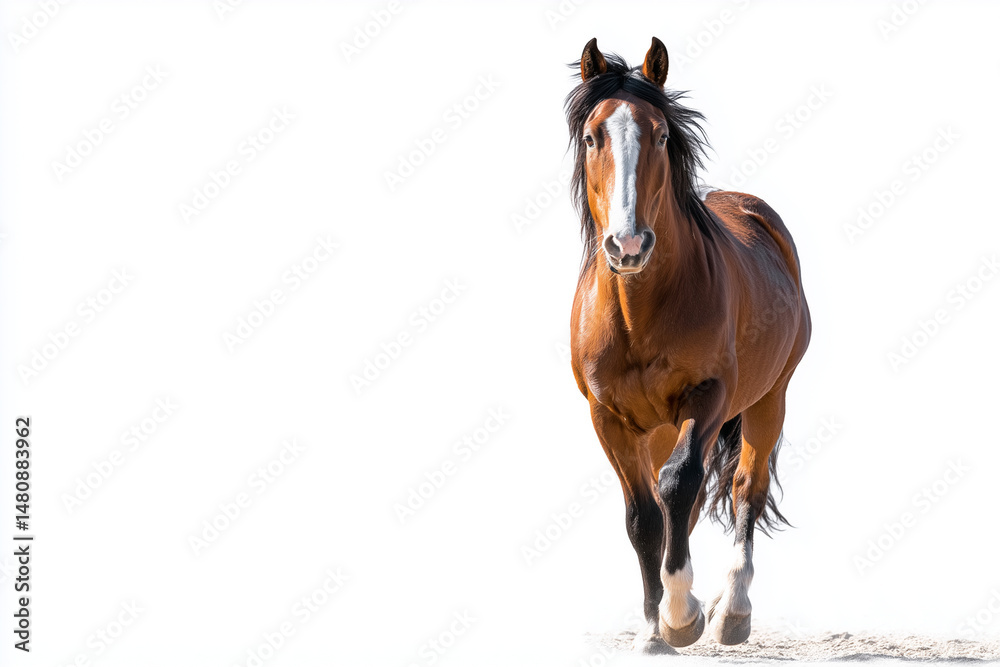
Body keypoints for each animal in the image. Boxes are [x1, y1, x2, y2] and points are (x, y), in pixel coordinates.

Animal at [566, 37, 811, 652]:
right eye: (592, 136)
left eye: (659, 135)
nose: (628, 245)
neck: (640, 312)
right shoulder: (608, 416)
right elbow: (644, 515)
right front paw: (656, 627)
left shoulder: (709, 396)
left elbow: (679, 487)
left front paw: (681, 615)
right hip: (656, 427)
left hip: (769, 398)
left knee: (745, 486)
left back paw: (731, 611)